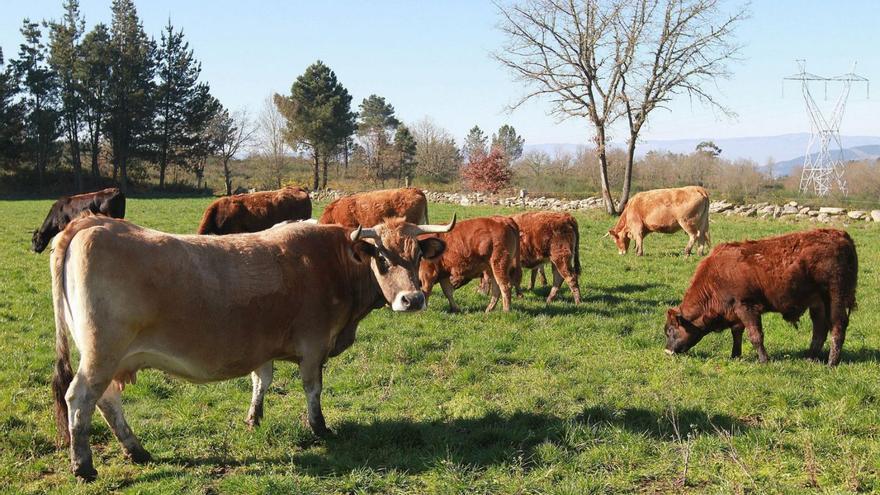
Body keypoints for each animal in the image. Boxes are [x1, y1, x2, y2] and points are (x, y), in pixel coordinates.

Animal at [50, 213, 454, 480]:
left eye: (418, 256)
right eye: (382, 259)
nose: (413, 299)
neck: (333, 261)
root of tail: (94, 222)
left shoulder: (263, 345)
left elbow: (262, 380)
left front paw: (253, 418)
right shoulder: (314, 344)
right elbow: (313, 388)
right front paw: (319, 427)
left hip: (109, 357)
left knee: (106, 400)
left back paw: (136, 450)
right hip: (103, 352)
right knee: (81, 398)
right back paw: (83, 466)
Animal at [664, 229, 858, 366]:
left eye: (671, 330)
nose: (667, 352)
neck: (716, 276)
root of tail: (841, 235)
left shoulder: (747, 307)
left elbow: (755, 335)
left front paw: (764, 360)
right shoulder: (736, 312)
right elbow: (737, 333)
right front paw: (735, 355)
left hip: (836, 298)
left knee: (838, 327)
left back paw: (831, 362)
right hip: (817, 304)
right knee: (820, 330)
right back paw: (810, 358)